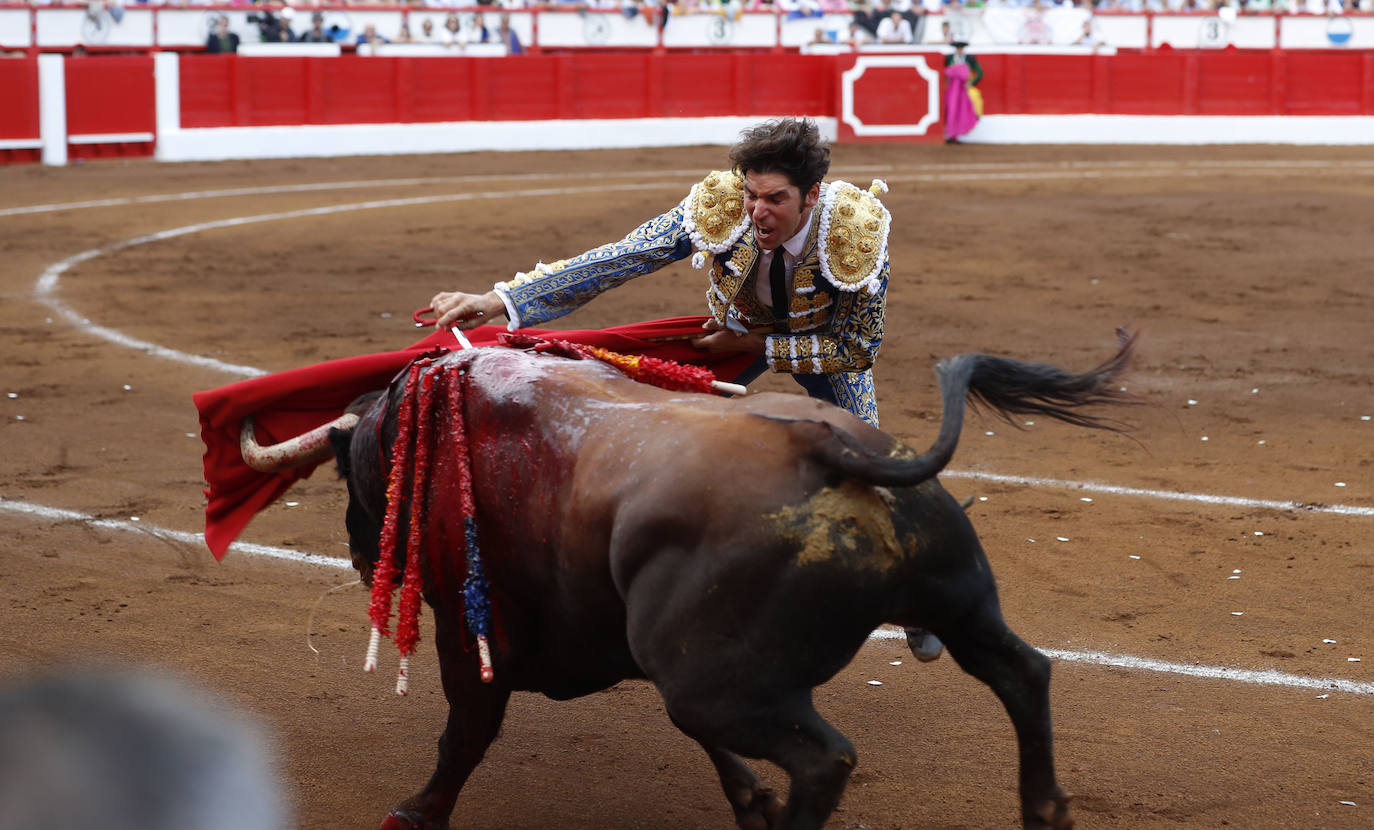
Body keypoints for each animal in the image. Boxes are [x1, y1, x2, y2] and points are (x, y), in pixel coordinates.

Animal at [241, 332, 1132, 830]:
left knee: (825, 760)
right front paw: (751, 803)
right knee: (1021, 672)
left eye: (353, 481)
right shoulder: (645, 644)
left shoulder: (476, 631)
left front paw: (416, 812)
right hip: (954, 601)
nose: (359, 555)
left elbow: (464, 733)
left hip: (720, 682)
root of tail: (831, 448)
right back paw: (1046, 811)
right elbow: (705, 747)